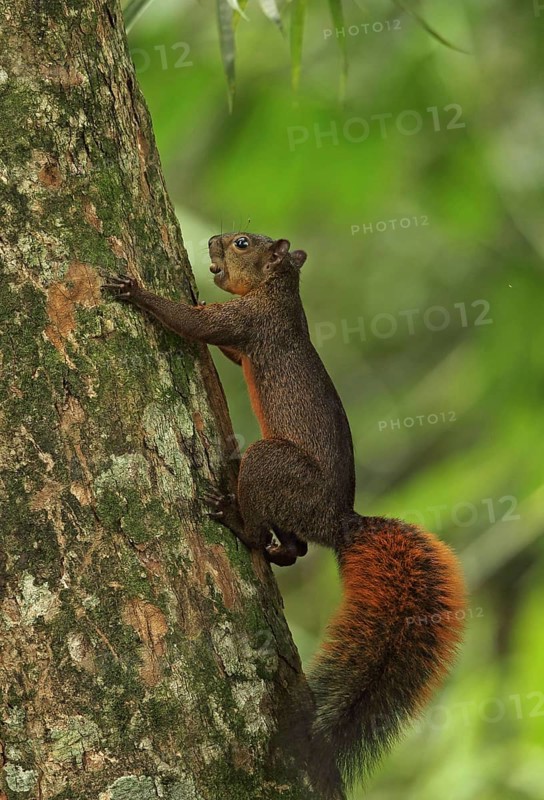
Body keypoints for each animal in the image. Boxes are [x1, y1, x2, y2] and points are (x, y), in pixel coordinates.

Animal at [104, 233, 466, 798]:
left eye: (242, 242)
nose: (213, 242)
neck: (281, 295)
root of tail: (338, 522)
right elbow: (226, 349)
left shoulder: (252, 322)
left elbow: (198, 327)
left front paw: (136, 290)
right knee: (296, 550)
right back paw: (278, 549)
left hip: (271, 466)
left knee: (262, 526)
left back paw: (237, 522)